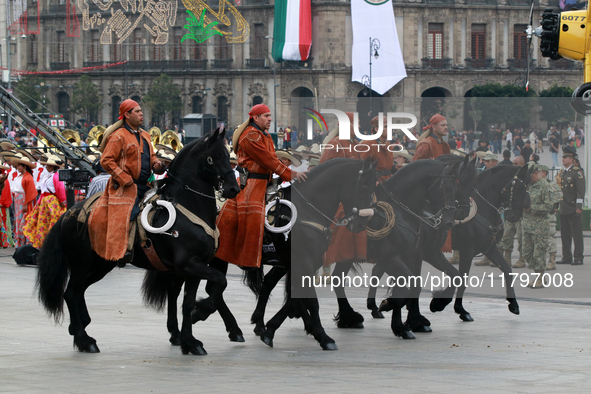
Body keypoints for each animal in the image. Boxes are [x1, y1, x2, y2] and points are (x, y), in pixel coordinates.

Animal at [35, 129, 239, 354]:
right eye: (213, 158)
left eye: (228, 155)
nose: (234, 188)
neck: (188, 208)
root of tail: (68, 213)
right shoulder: (189, 264)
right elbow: (220, 281)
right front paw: (200, 313)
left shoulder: (195, 267)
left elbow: (188, 302)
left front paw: (190, 341)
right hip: (83, 265)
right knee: (71, 294)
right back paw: (84, 340)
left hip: (100, 265)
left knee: (79, 292)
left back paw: (80, 327)